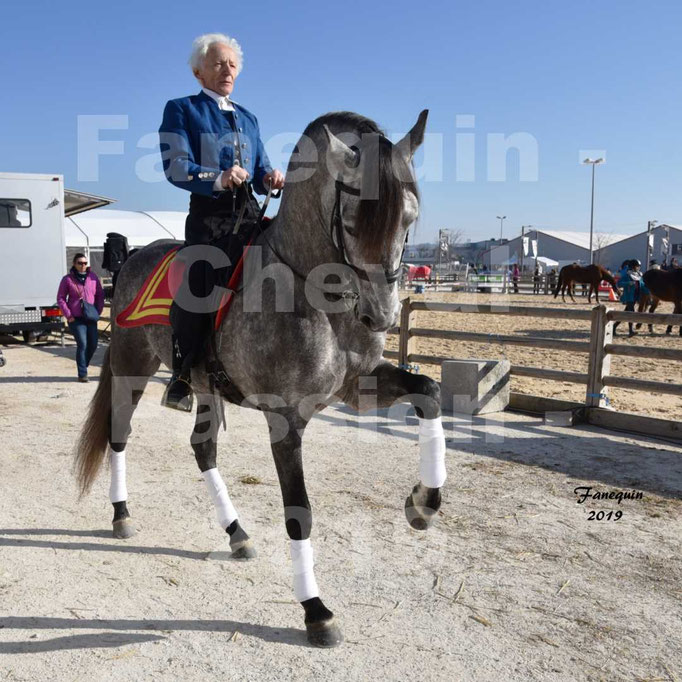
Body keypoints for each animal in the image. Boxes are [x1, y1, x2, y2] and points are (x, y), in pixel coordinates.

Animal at [74, 110, 447, 648]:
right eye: (352, 221)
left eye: (410, 219)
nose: (381, 316)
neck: (314, 291)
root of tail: (132, 258)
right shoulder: (286, 419)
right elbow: (300, 512)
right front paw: (316, 611)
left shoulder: (359, 387)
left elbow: (430, 394)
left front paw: (423, 504)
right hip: (131, 365)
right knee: (119, 435)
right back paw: (122, 515)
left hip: (202, 386)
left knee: (202, 449)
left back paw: (236, 534)